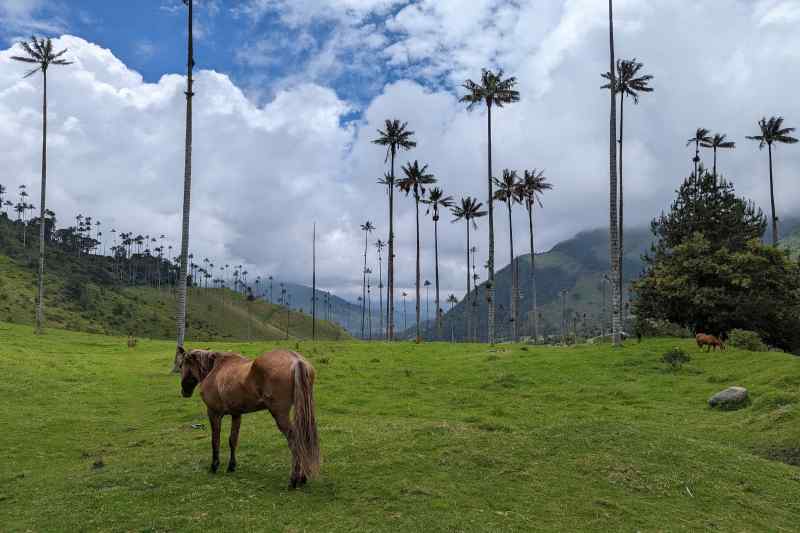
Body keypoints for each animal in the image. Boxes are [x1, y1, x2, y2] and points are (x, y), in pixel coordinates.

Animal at [177, 344, 318, 486]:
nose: (184, 391)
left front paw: (214, 466)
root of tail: (296, 360)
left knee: (294, 440)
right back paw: (302, 477)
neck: (215, 369)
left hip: (280, 414)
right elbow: (232, 440)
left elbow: (215, 441)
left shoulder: (213, 413)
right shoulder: (236, 414)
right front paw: (231, 466)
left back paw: (294, 479)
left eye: (182, 365)